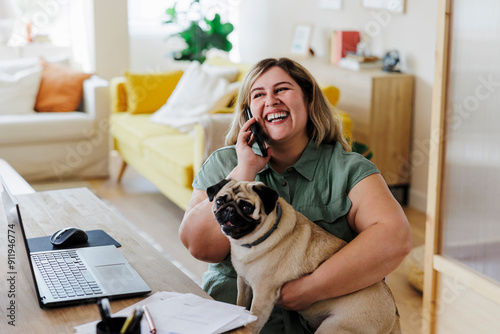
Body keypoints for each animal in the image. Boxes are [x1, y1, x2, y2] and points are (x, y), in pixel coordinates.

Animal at [207, 179, 402, 332]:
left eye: (247, 207)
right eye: (219, 201)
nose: (229, 210)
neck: (252, 242)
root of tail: (394, 315)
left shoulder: (262, 294)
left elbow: (252, 320)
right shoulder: (243, 282)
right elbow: (241, 304)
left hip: (334, 327)